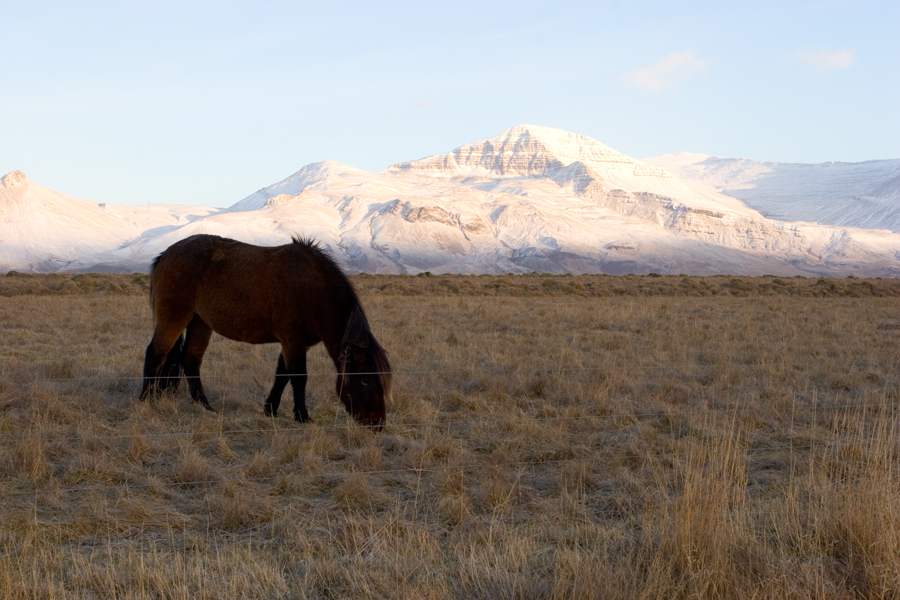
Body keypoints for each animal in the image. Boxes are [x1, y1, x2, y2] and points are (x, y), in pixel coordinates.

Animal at [140, 232, 390, 428]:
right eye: (365, 380)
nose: (377, 424)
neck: (312, 289)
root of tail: (165, 254)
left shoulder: (295, 344)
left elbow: (282, 375)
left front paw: (270, 410)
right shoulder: (292, 340)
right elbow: (298, 376)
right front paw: (303, 416)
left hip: (200, 322)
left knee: (191, 359)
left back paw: (205, 406)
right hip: (174, 318)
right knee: (155, 354)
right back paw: (144, 401)